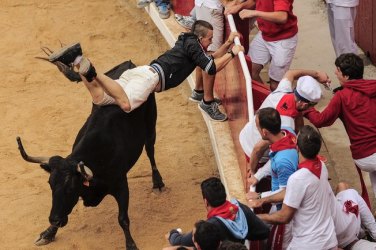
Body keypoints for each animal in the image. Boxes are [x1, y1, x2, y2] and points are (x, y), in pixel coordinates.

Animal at [16, 61, 164, 250]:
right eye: (50, 185)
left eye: (70, 188)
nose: (54, 219)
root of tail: (130, 65)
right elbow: (66, 209)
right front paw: (48, 233)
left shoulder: (121, 185)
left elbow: (123, 219)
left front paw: (131, 244)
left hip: (151, 123)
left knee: (150, 150)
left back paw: (157, 182)